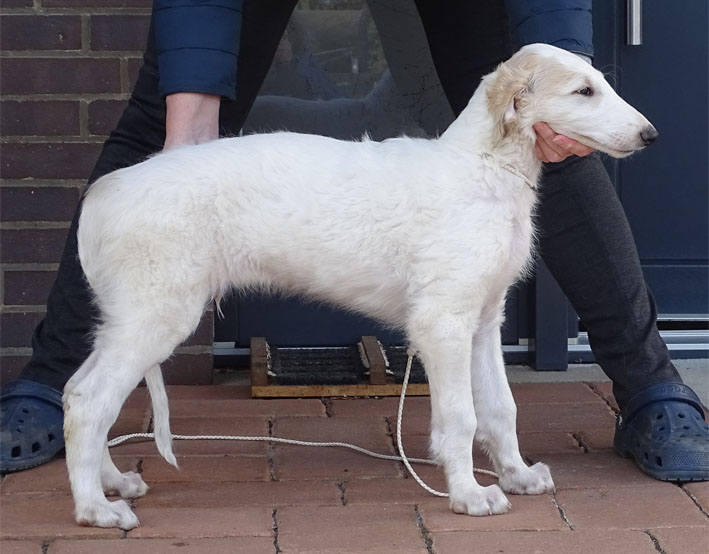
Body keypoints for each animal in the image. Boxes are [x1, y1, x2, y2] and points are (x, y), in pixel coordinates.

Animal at [64, 44, 657, 528]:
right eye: (583, 91)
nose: (650, 135)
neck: (483, 167)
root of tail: (104, 194)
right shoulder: (442, 323)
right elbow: (460, 417)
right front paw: (469, 495)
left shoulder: (485, 321)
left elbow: (500, 409)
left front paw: (517, 475)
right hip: (157, 314)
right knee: (90, 403)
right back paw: (94, 509)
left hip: (128, 319)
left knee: (77, 392)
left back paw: (111, 482)